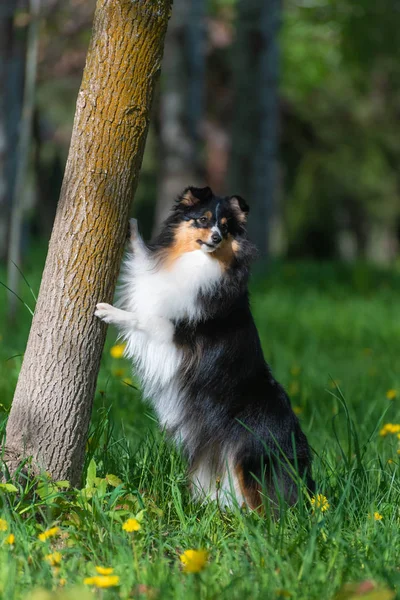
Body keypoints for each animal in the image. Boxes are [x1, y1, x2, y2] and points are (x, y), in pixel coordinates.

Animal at [95, 185, 314, 508]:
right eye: (202, 219)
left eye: (225, 226)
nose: (216, 238)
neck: (199, 262)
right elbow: (145, 265)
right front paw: (133, 229)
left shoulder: (177, 336)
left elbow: (147, 318)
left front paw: (111, 312)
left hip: (250, 460)